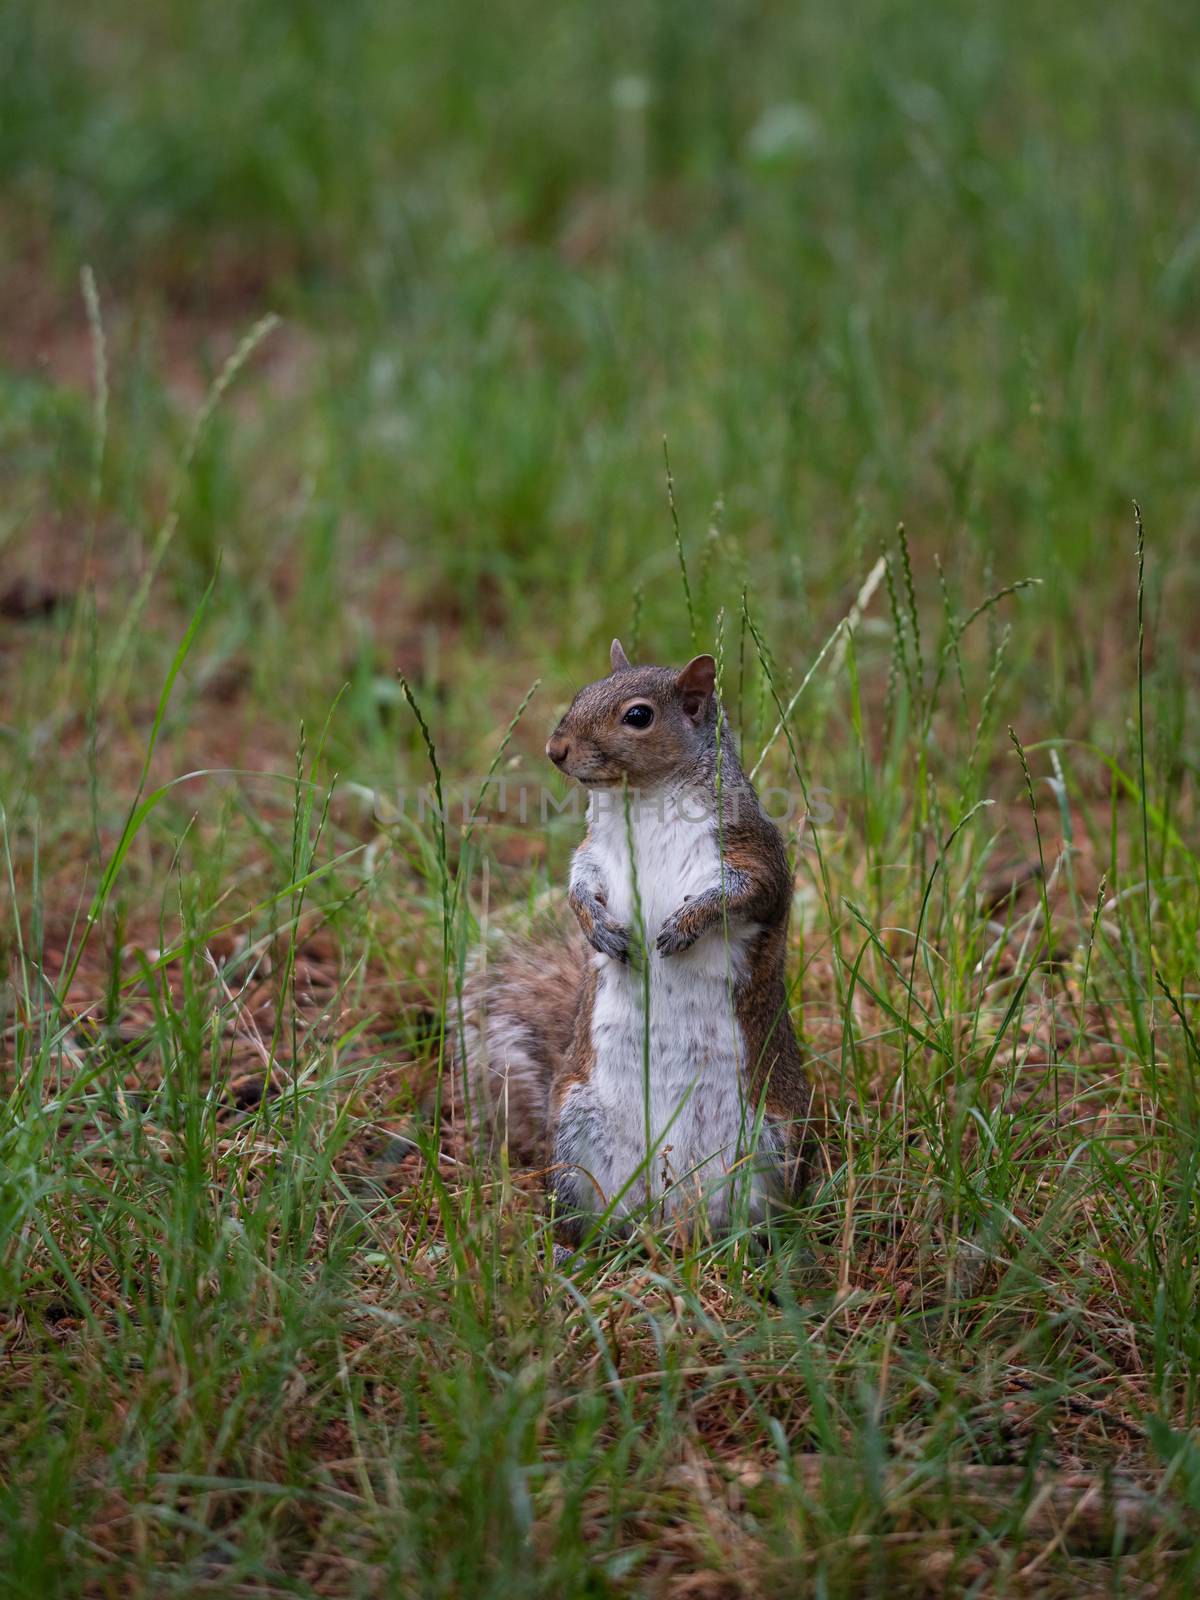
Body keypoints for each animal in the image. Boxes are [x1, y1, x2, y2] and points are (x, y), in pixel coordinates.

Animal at [454, 643, 812, 1241]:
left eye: (638, 716)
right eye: (582, 692)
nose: (555, 750)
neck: (645, 799)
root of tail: (665, 1213)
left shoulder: (751, 852)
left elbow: (744, 894)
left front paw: (685, 924)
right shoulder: (595, 854)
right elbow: (579, 885)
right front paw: (597, 928)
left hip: (773, 1141)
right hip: (574, 1131)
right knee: (580, 1214)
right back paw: (571, 1248)